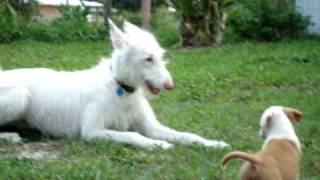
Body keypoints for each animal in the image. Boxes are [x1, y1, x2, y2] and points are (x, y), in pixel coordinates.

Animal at [0, 19, 230, 150]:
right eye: (148, 59)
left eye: (161, 56)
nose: (169, 85)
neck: (122, 90)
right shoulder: (92, 131)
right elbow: (132, 134)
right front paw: (156, 144)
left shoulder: (150, 126)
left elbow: (186, 135)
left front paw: (213, 143)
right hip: (19, 97)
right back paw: (11, 137)